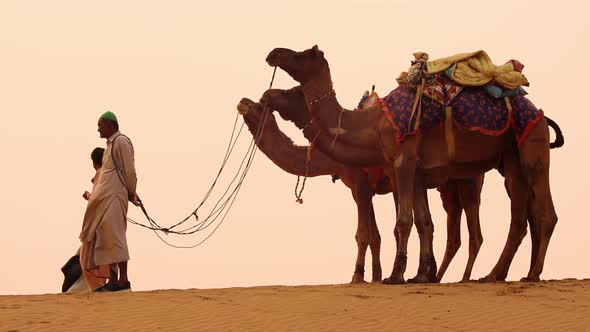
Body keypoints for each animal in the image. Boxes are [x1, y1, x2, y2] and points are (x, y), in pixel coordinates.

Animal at [268, 45, 564, 284]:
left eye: (302, 54)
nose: (273, 53)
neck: (373, 123)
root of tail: (542, 116)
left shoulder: (400, 163)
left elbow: (402, 222)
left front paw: (394, 275)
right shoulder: (416, 171)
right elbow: (423, 222)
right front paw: (420, 274)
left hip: (532, 145)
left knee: (543, 212)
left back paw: (529, 274)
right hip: (510, 158)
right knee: (521, 216)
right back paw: (496, 275)